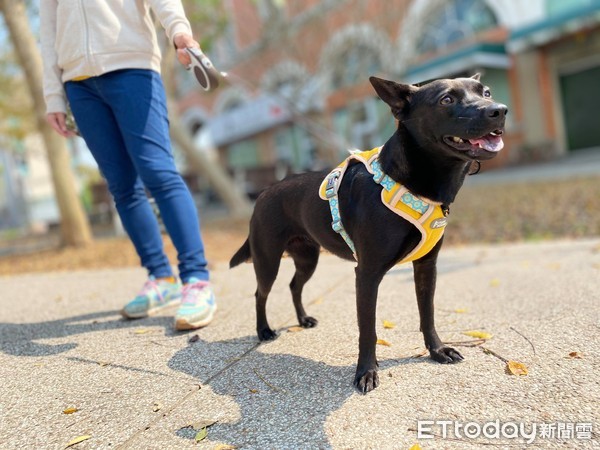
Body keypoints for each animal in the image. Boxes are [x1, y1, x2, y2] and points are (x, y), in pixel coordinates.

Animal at [230, 75, 506, 392]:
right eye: (446, 100)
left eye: (486, 92)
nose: (499, 110)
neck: (408, 182)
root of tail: (263, 192)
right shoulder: (367, 275)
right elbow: (368, 328)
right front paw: (366, 371)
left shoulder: (427, 266)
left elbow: (428, 313)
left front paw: (437, 350)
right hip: (267, 259)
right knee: (261, 293)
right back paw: (264, 330)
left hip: (308, 258)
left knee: (294, 286)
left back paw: (302, 319)